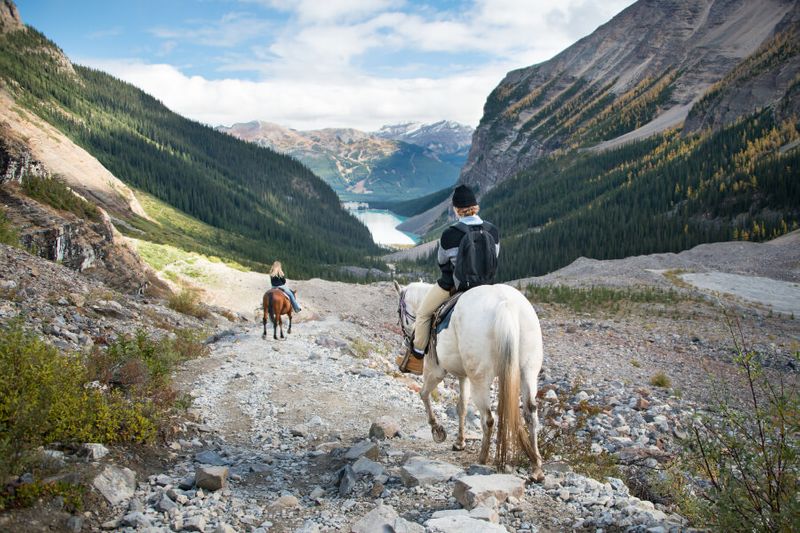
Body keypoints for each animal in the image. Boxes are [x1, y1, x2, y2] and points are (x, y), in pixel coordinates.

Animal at [392, 280, 544, 480]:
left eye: (398, 311)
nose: (406, 338)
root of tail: (505, 304)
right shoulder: (463, 375)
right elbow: (462, 406)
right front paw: (460, 442)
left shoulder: (435, 370)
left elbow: (424, 394)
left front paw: (437, 430)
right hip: (528, 371)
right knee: (530, 413)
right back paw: (536, 468)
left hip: (479, 378)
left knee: (488, 418)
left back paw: (482, 459)